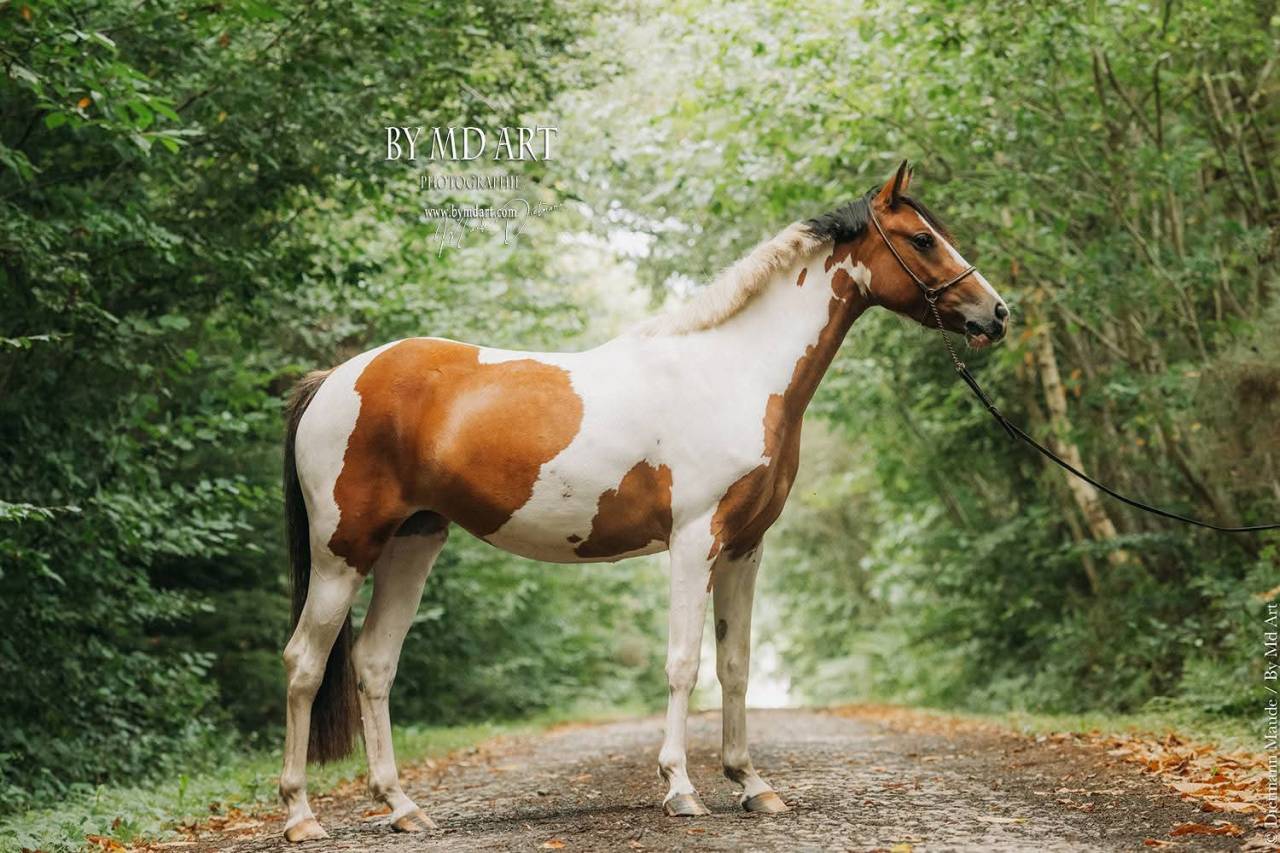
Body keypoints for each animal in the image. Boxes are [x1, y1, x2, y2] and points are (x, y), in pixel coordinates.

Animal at [277, 162, 1009, 840]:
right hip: (343, 551)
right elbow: (684, 664)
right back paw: (301, 815)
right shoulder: (694, 541)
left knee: (374, 664)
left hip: (413, 540)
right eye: (922, 239)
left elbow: (735, 666)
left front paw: (751, 784)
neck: (733, 371)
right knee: (304, 662)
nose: (997, 314)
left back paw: (402, 807)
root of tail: (334, 378)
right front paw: (681, 788)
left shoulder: (745, 548)